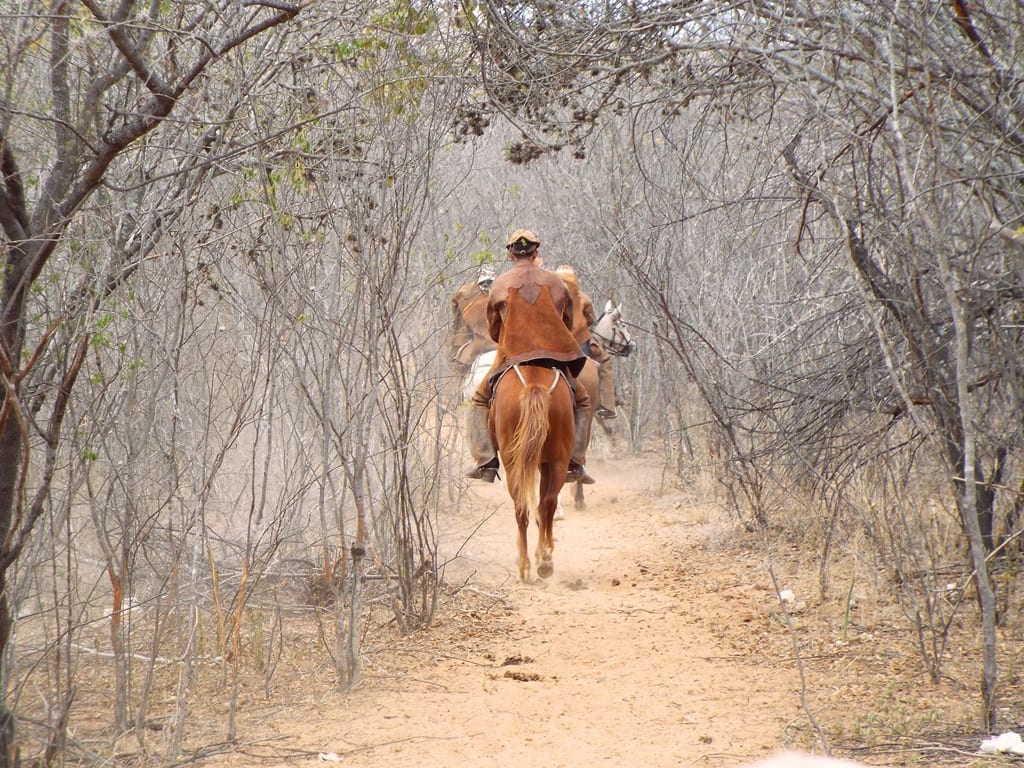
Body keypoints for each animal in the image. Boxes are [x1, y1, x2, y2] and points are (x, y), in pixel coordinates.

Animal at [489, 364, 577, 581]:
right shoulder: (545, 464)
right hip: (558, 462)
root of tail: (535, 386)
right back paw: (541, 560)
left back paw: (529, 563)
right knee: (544, 503)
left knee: (527, 505)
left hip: (516, 462)